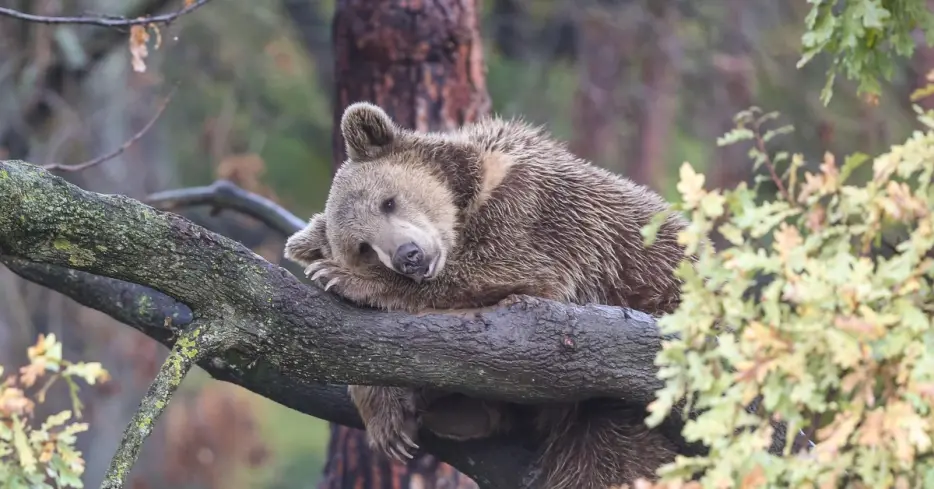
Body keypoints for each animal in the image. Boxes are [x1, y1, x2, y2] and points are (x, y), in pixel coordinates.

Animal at [284, 101, 692, 489]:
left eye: (388, 201)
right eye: (363, 247)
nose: (408, 256)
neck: (468, 198)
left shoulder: (538, 213)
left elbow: (504, 272)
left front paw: (339, 277)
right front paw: (390, 418)